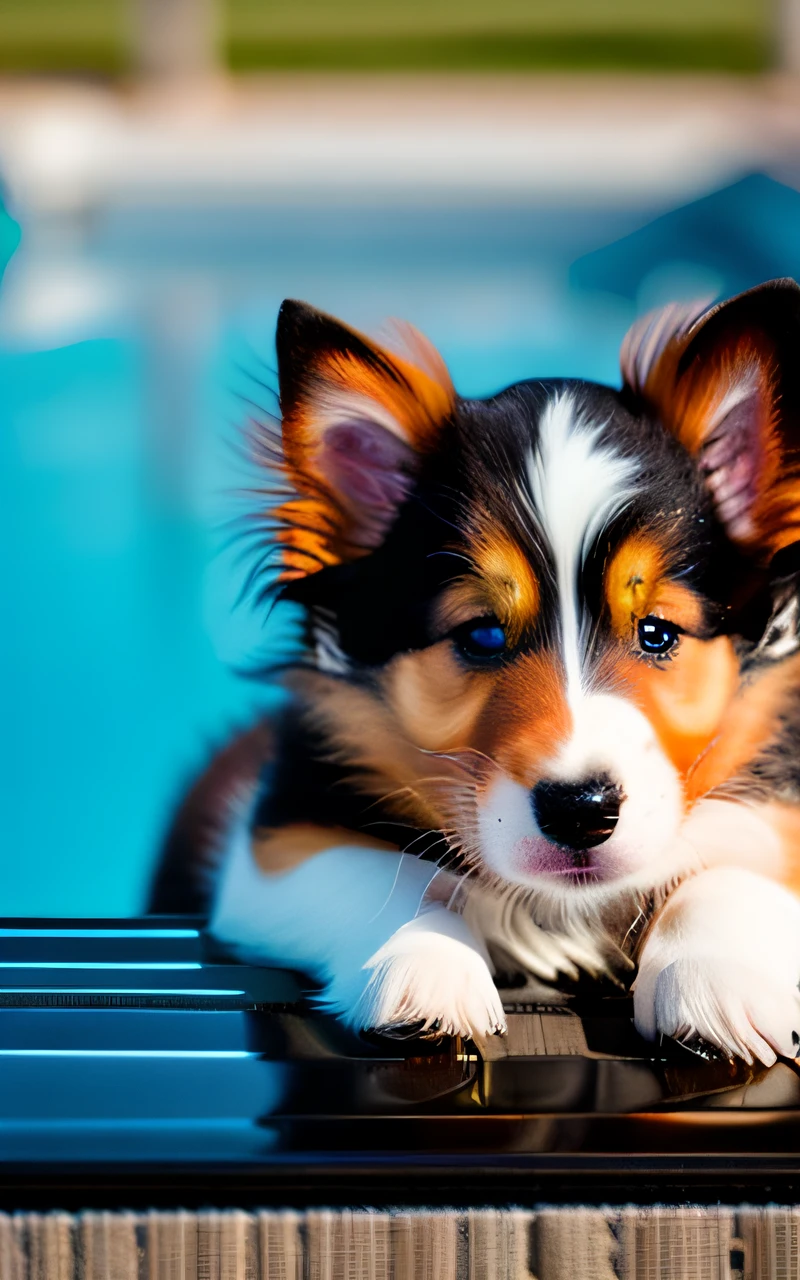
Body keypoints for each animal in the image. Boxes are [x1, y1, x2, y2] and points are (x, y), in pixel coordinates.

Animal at [151, 282, 800, 1070]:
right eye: (482, 634)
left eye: (657, 634)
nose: (581, 810)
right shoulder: (274, 843)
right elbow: (395, 877)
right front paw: (424, 970)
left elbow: (732, 864)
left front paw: (714, 982)